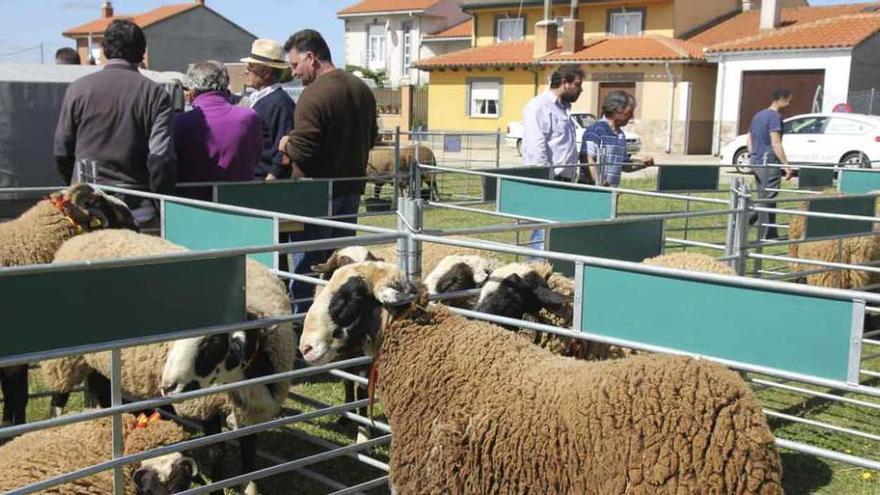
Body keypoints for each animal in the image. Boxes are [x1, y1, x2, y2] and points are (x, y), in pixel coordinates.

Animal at [42, 232, 296, 495]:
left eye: (212, 342)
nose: (168, 387)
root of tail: (82, 237)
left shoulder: (250, 411)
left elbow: (249, 451)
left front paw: (248, 485)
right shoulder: (205, 404)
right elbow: (216, 451)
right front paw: (218, 487)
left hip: (99, 360)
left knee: (101, 389)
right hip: (65, 359)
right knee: (58, 399)